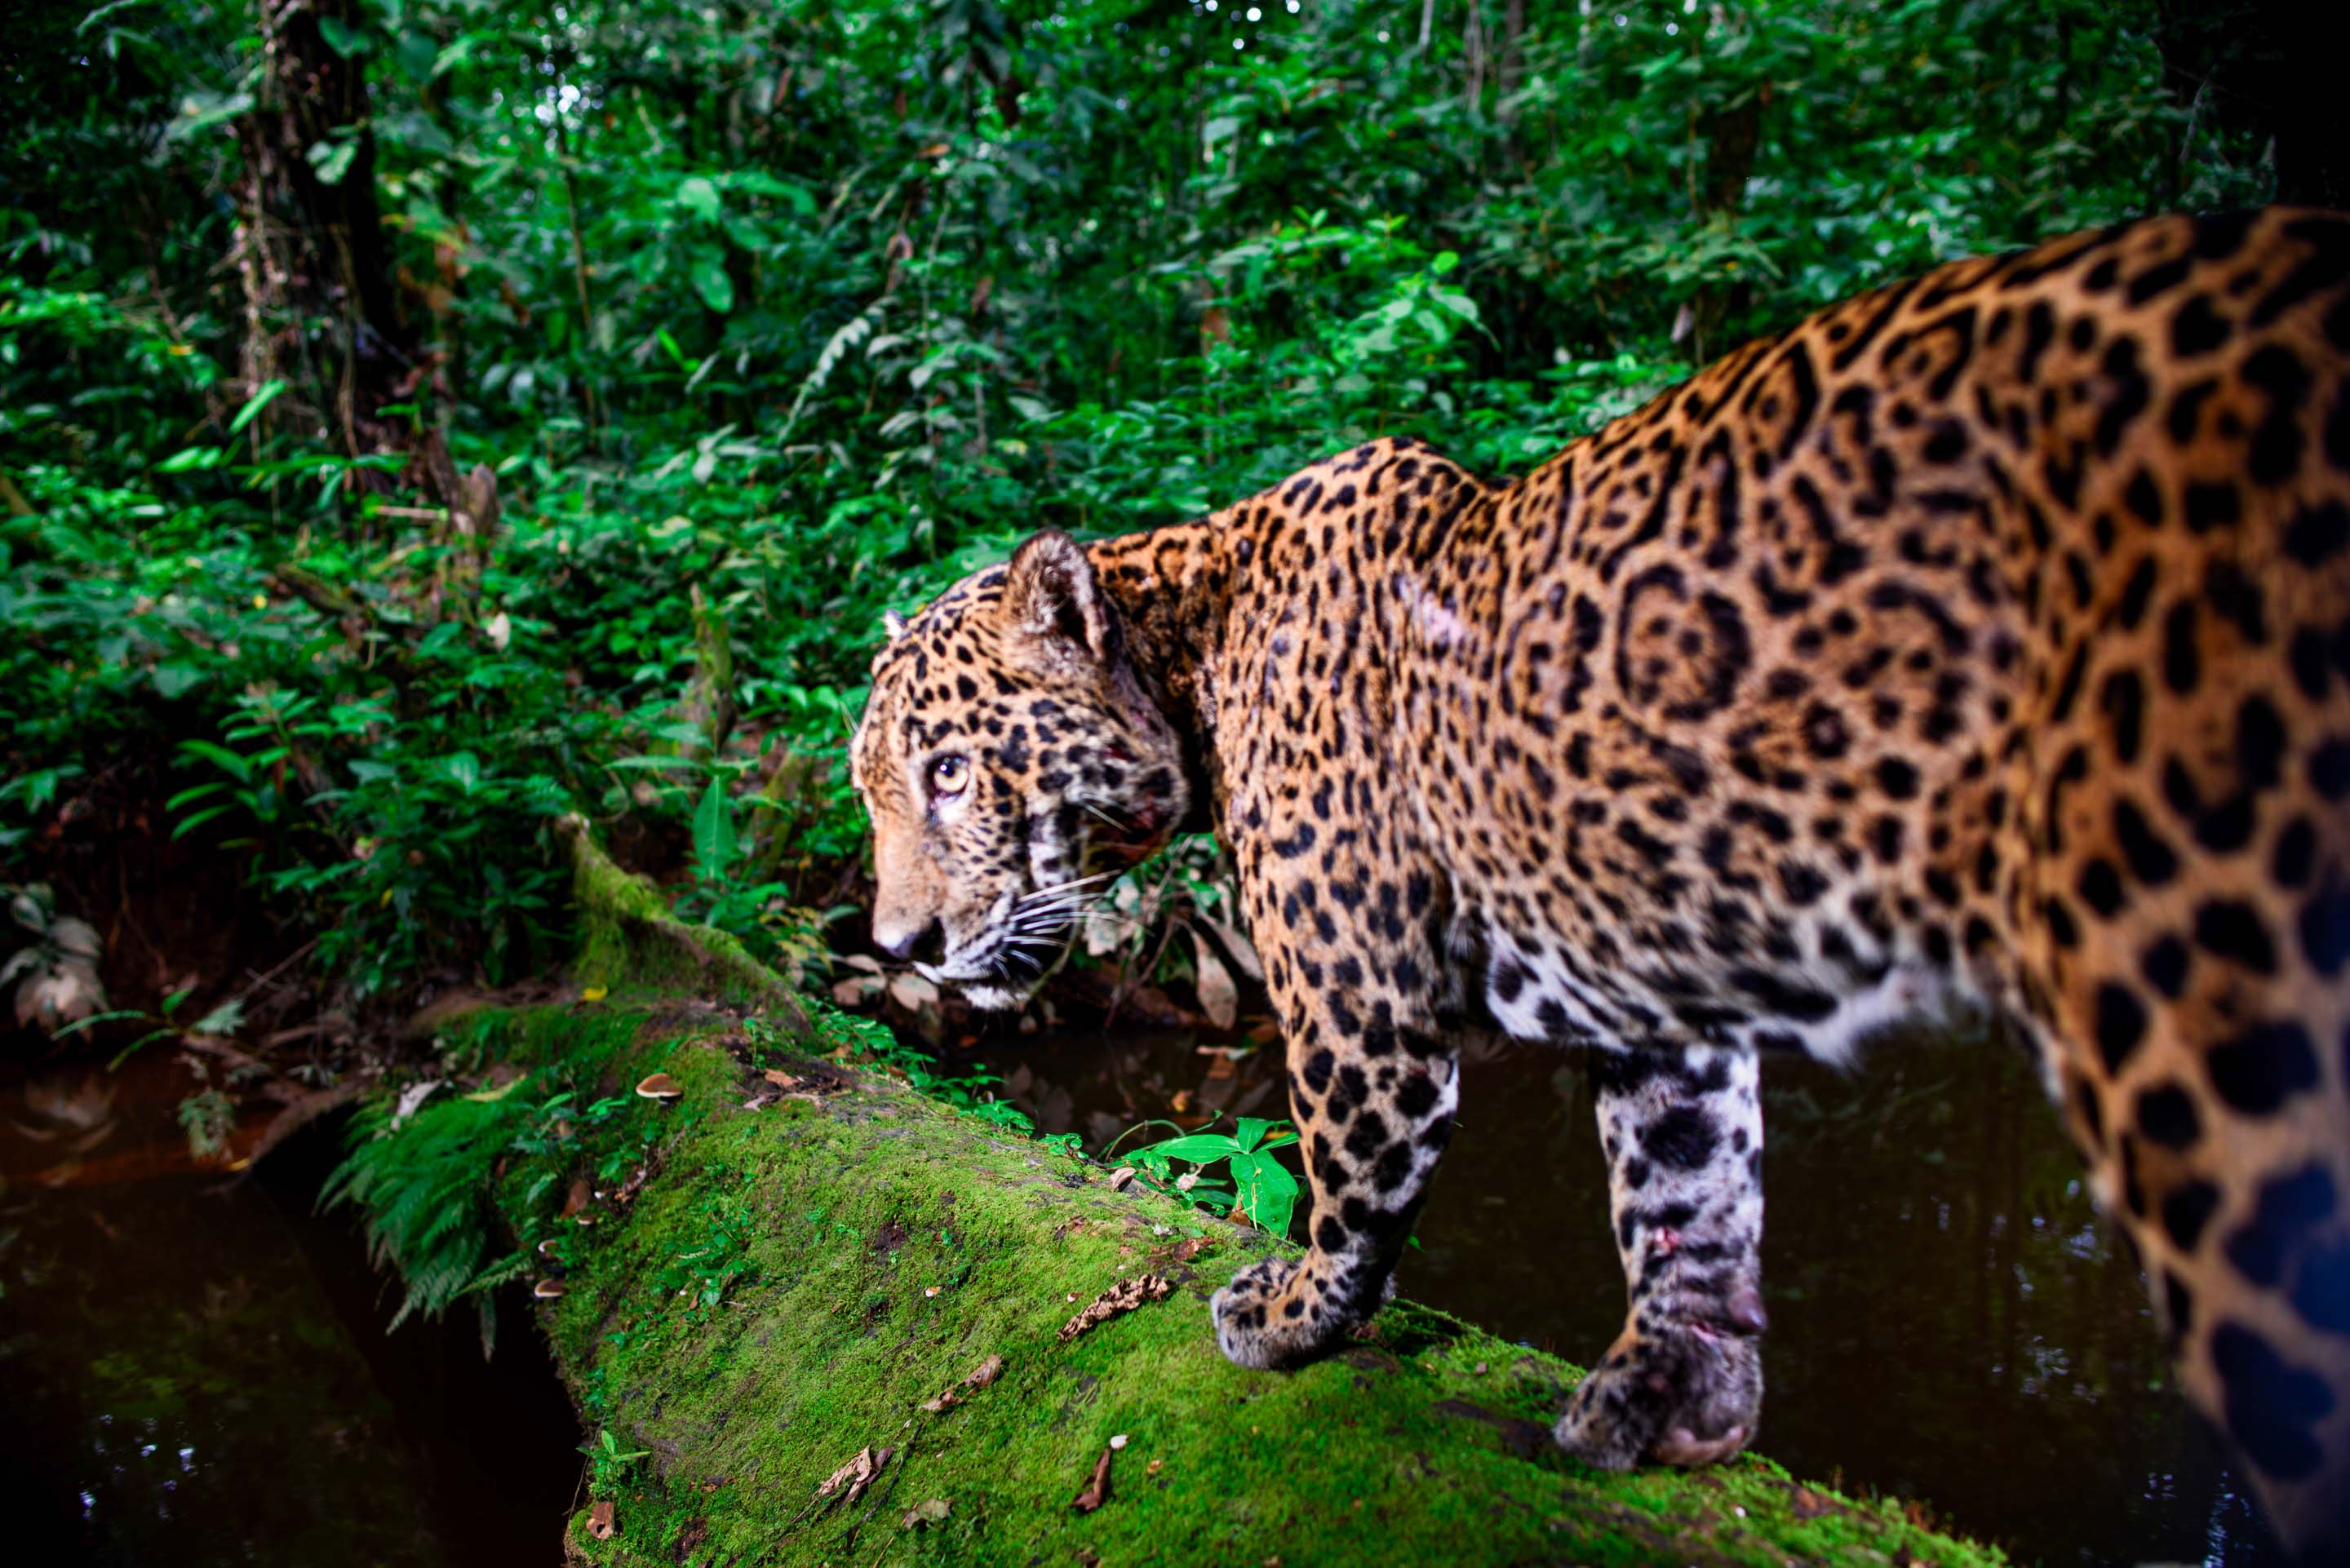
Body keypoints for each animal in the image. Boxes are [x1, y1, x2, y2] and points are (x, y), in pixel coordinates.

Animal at [850, 207, 2350, 1561]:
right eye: (875, 789)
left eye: (948, 773)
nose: (900, 942)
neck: (1194, 647)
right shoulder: (1660, 990)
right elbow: (1689, 1182)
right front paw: (1681, 1399)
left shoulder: (1360, 1003)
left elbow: (1349, 1174)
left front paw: (1289, 1316)